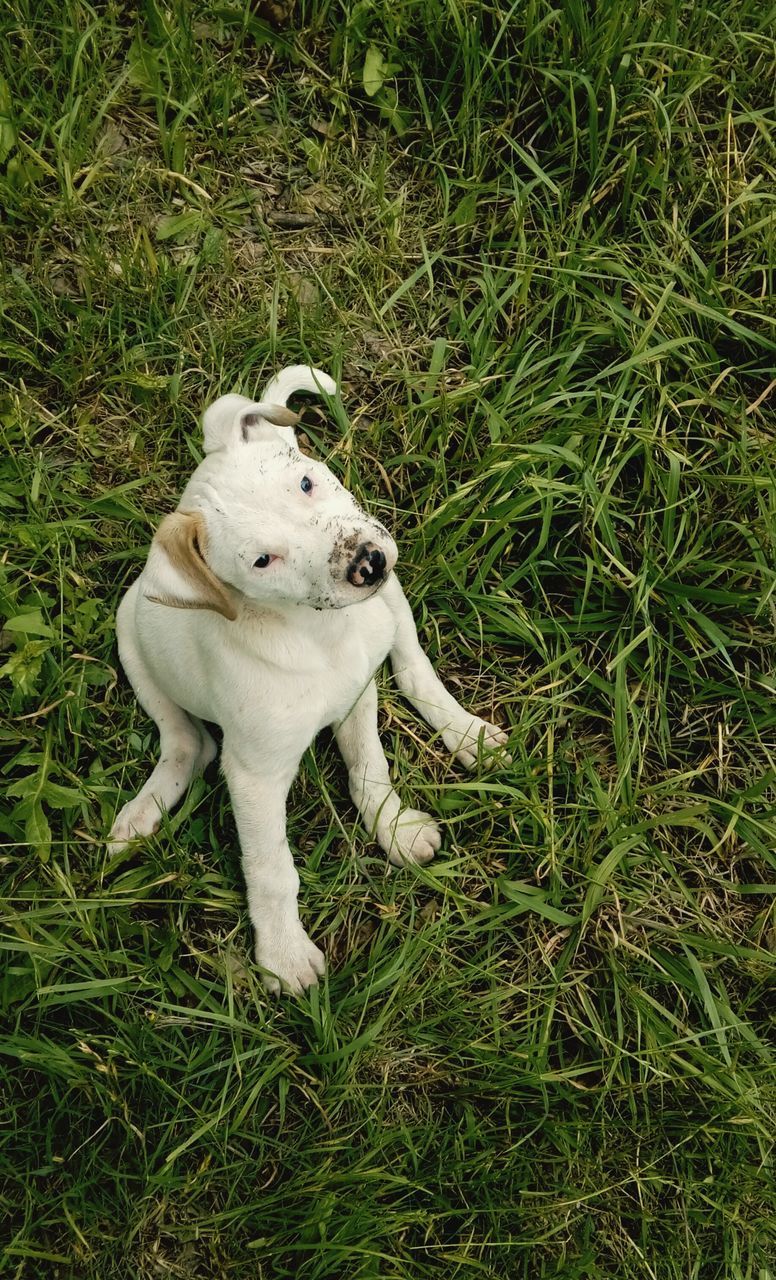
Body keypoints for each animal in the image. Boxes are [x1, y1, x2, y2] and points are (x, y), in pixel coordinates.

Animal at [109, 366, 512, 993]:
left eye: (304, 483)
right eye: (262, 561)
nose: (367, 563)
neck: (317, 637)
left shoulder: (357, 697)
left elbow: (370, 770)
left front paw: (394, 828)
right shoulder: (254, 774)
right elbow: (271, 866)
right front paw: (283, 954)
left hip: (391, 604)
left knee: (412, 666)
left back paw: (465, 732)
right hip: (131, 637)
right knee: (188, 745)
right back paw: (142, 812)